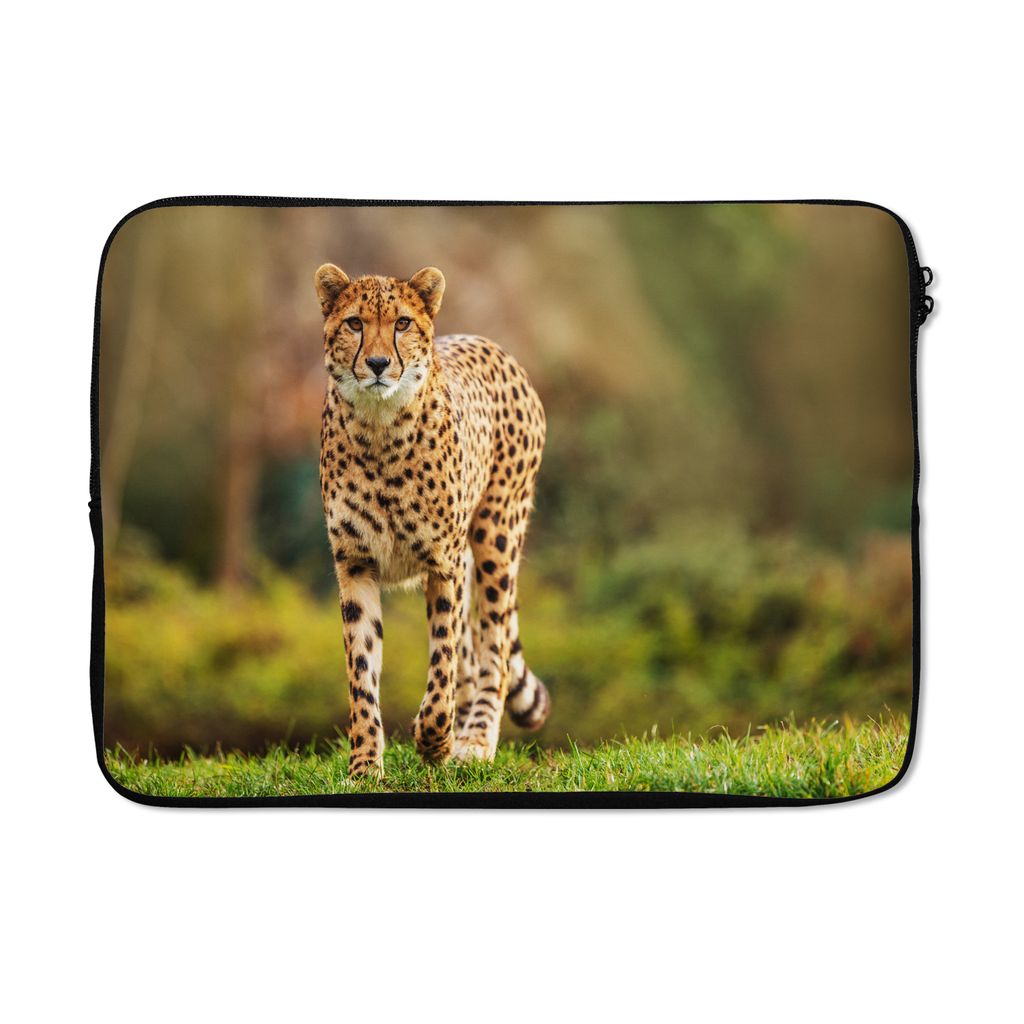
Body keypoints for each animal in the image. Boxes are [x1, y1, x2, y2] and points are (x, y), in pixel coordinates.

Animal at [314, 263, 550, 777]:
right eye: (354, 323)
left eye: (402, 323)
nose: (378, 363)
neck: (380, 428)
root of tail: (492, 345)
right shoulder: (355, 565)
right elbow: (362, 671)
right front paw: (365, 764)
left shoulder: (444, 563)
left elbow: (443, 661)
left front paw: (434, 740)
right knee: (474, 654)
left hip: (496, 537)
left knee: (493, 649)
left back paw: (475, 740)